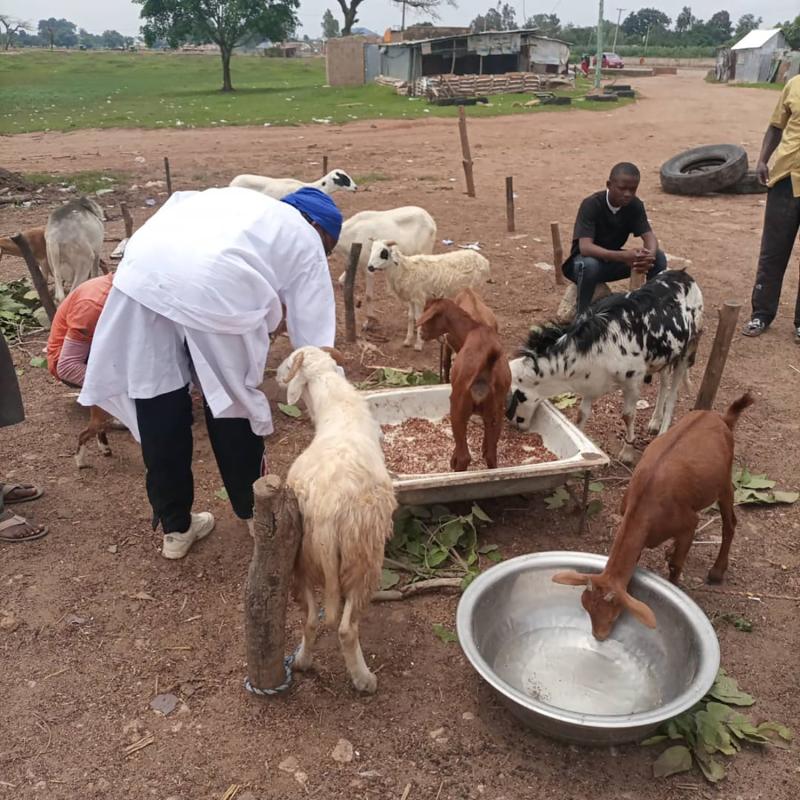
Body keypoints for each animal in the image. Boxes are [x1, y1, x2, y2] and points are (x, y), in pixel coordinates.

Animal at [276, 346, 396, 693]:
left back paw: (302, 661)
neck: (335, 404)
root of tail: (328, 512)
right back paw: (364, 679)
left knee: (308, 620)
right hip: (363, 557)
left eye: (288, 364)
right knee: (346, 629)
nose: (275, 376)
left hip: (299, 557)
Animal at [507, 271, 703, 463]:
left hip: (687, 350)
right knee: (664, 383)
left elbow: (628, 415)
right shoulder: (591, 382)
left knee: (673, 394)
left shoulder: (633, 381)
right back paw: (655, 422)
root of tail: (685, 275)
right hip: (665, 355)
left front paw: (627, 452)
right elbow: (581, 414)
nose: (516, 425)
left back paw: (663, 432)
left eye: (517, 396)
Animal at [553, 392, 753, 641]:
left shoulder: (688, 522)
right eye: (586, 605)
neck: (645, 502)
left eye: (614, 611)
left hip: (725, 480)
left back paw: (716, 572)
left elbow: (677, 565)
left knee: (730, 522)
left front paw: (676, 586)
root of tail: (720, 418)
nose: (599, 636)